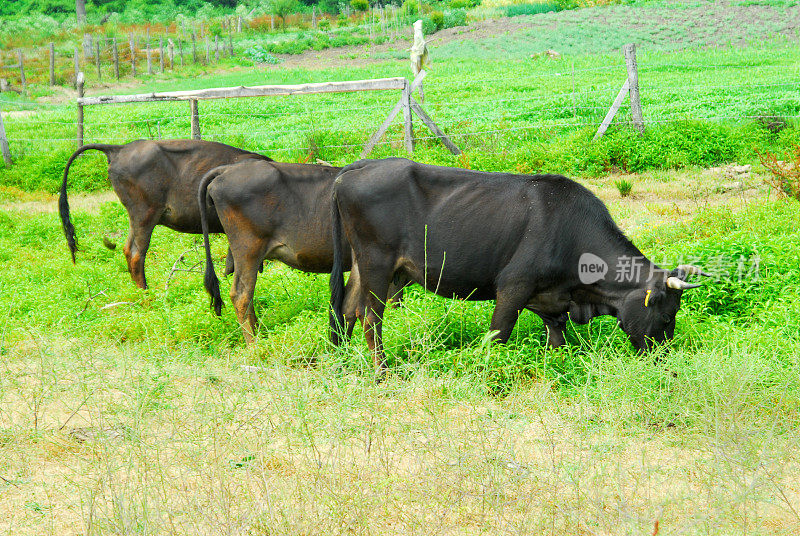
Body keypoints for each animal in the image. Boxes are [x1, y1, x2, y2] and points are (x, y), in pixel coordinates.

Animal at [58, 140, 272, 286]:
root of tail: (119, 149)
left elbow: (230, 265)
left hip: (135, 218)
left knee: (127, 249)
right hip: (145, 216)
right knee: (137, 253)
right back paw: (146, 292)